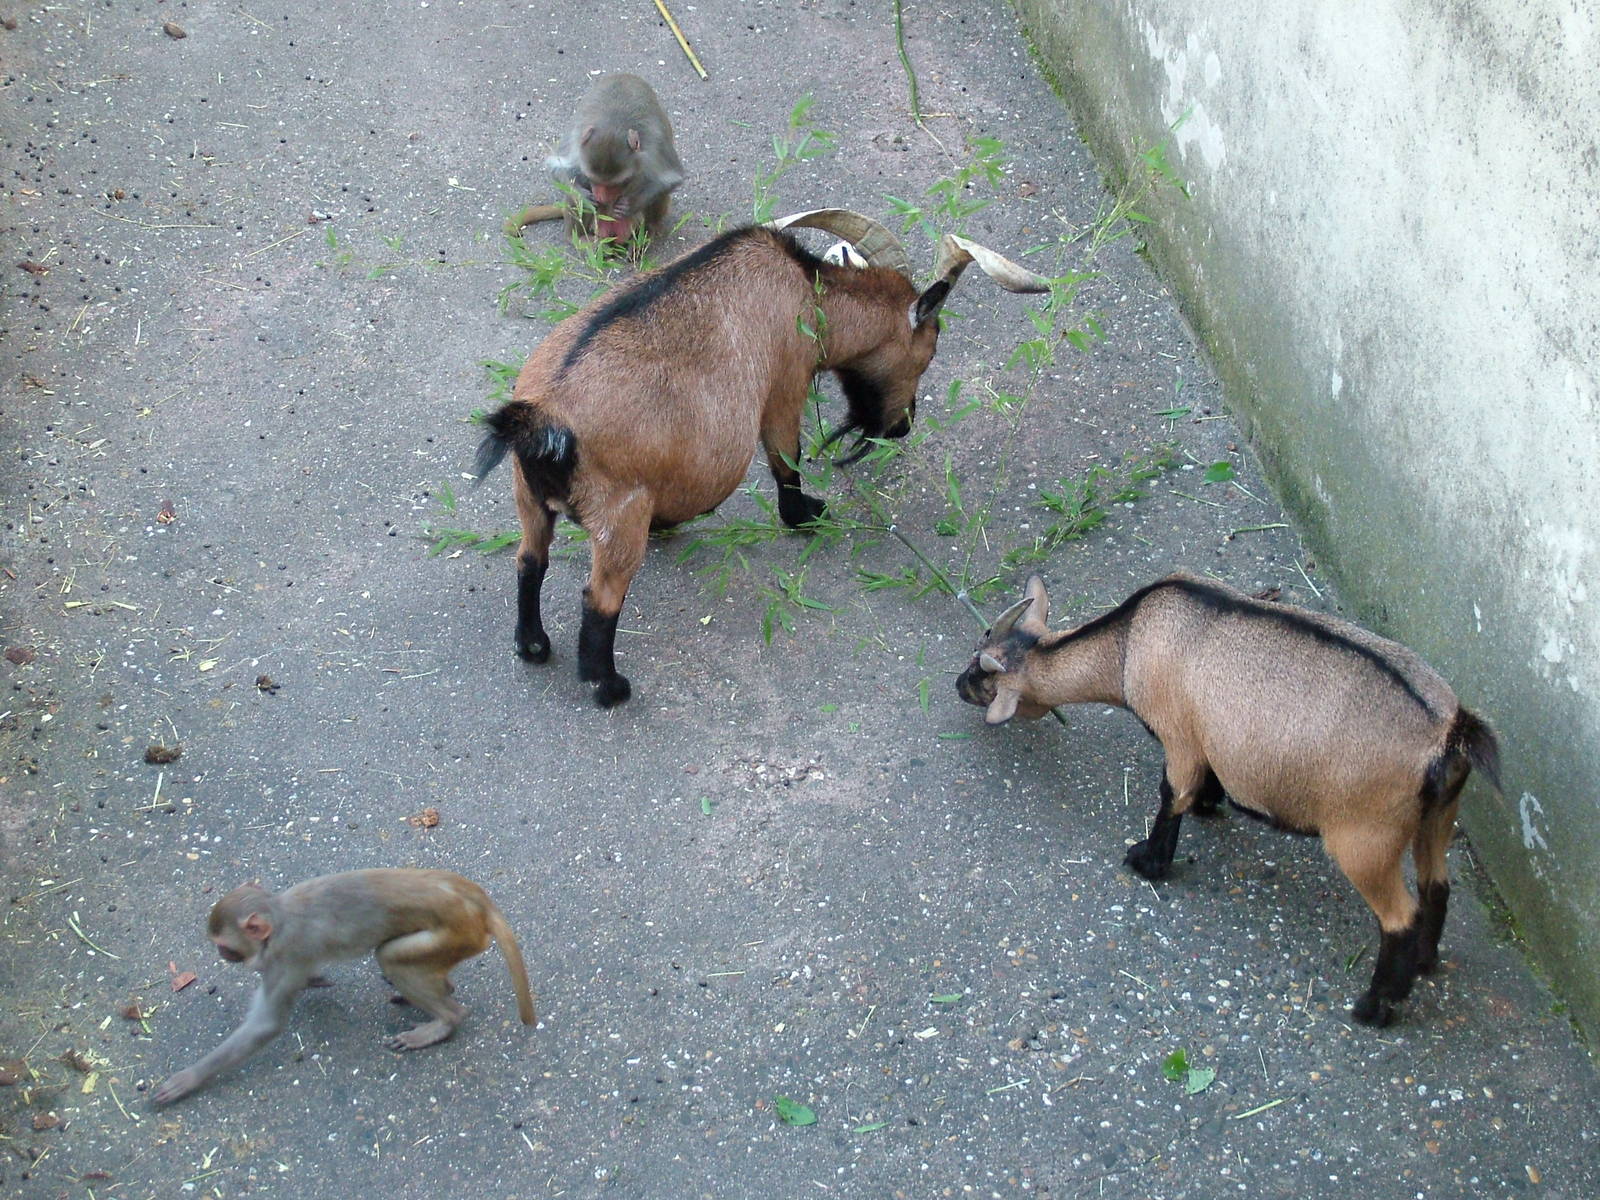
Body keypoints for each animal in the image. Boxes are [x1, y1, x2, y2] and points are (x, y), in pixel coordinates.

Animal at [476, 209, 1050, 707]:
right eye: (929, 348)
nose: (903, 424)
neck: (805, 289)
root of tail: (543, 420)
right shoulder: (785, 383)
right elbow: (785, 459)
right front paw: (805, 515)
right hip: (620, 514)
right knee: (599, 601)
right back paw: (610, 686)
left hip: (527, 497)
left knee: (530, 560)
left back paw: (533, 646)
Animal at [955, 572, 1502, 1027]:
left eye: (983, 679)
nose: (957, 685)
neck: (1129, 643)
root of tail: (1448, 732)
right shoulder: (1209, 740)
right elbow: (1205, 781)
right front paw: (1207, 806)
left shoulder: (1179, 735)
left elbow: (1173, 795)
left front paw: (1148, 861)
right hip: (1438, 817)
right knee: (1436, 886)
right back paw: (1425, 965)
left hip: (1366, 837)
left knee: (1399, 918)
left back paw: (1376, 1006)